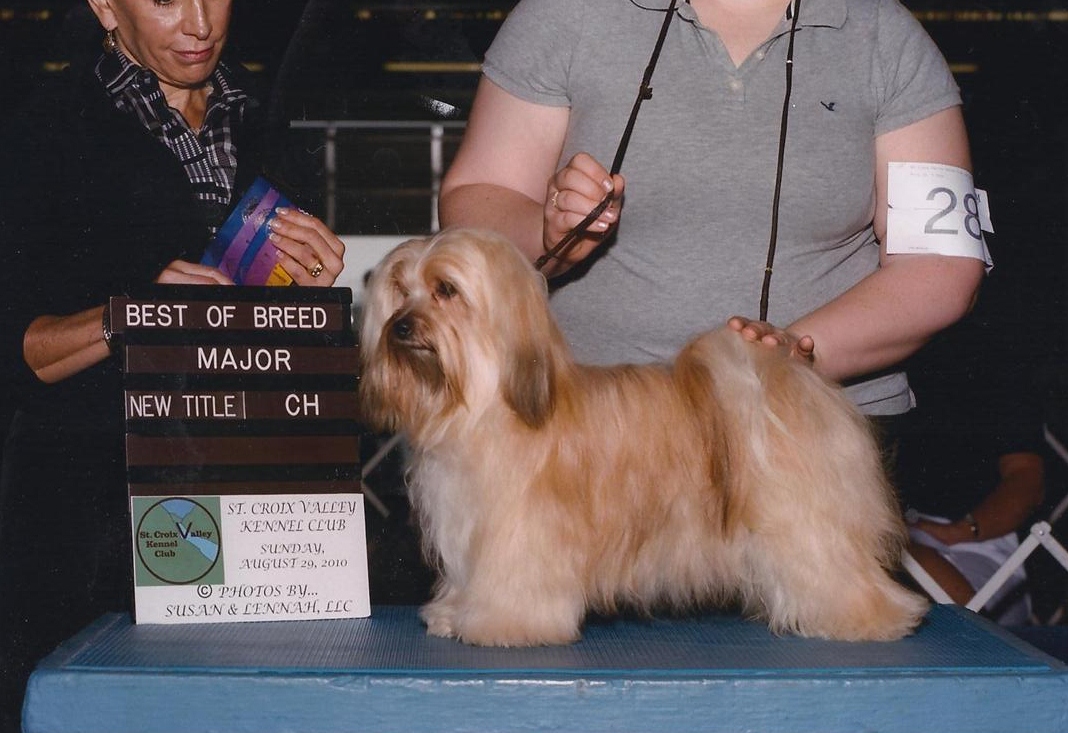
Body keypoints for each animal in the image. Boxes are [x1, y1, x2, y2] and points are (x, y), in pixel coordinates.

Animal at [358, 229, 927, 649]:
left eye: (446, 290)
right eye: (399, 290)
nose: (401, 326)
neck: (484, 401)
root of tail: (782, 378)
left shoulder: (522, 531)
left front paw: (501, 624)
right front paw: (453, 613)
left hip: (806, 523)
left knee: (838, 571)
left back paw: (870, 618)